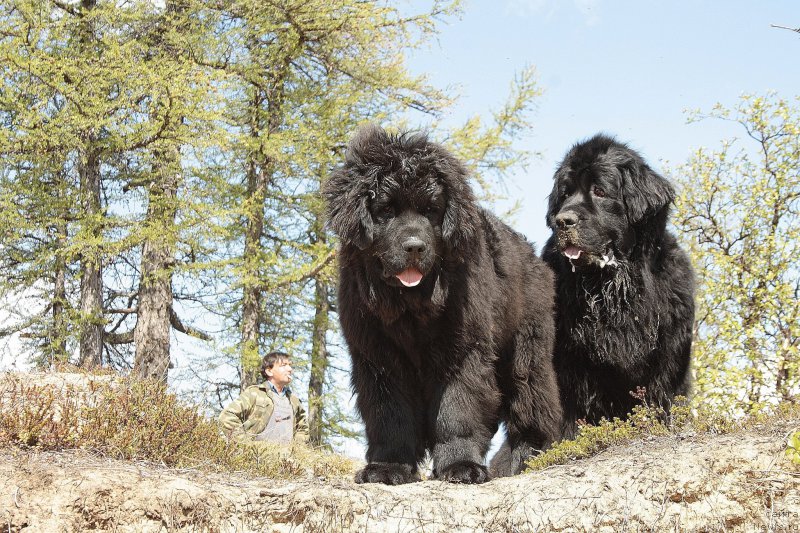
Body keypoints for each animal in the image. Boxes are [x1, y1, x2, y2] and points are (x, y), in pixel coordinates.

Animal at [322, 123, 560, 482]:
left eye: (431, 210)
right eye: (386, 210)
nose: (414, 246)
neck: (411, 306)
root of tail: (530, 252)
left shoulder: (461, 349)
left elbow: (457, 407)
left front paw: (461, 466)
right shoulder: (379, 357)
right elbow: (390, 415)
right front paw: (387, 468)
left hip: (526, 349)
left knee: (533, 402)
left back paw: (523, 458)